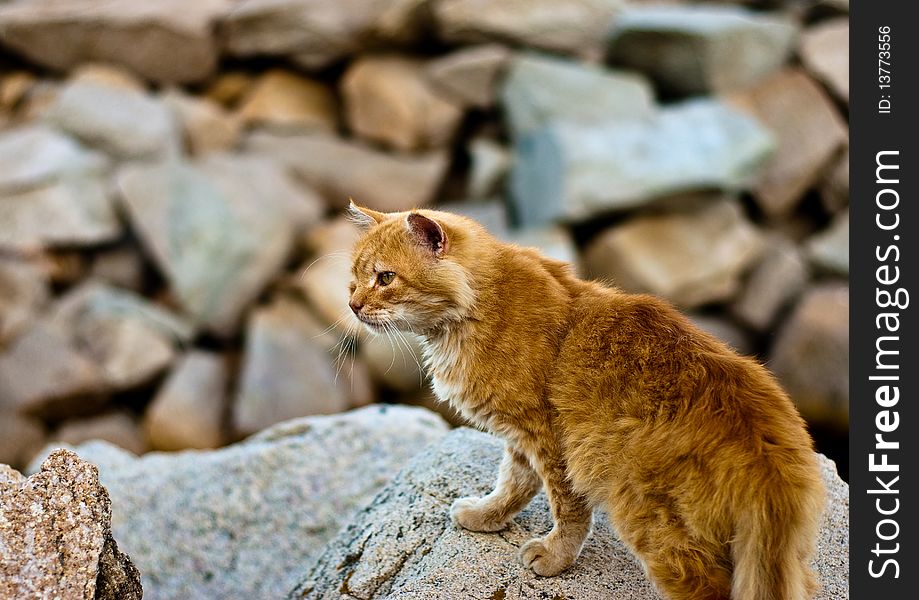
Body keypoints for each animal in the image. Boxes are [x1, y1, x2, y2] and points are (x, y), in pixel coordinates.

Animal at [344, 203, 828, 600]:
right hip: (776, 562)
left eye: (385, 278)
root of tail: (771, 451)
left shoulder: (552, 438)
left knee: (706, 586)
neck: (479, 307)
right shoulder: (521, 436)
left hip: (648, 518)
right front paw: (486, 515)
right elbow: (513, 484)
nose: (352, 305)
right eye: (353, 278)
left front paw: (554, 556)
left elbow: (567, 507)